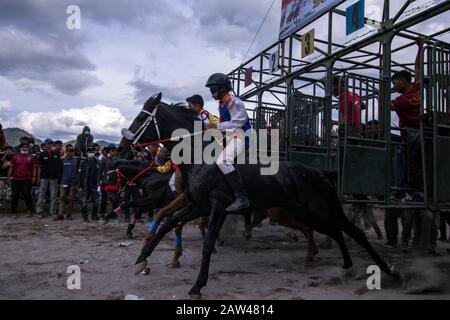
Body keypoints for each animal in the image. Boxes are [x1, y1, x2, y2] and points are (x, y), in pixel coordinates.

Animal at [120, 93, 394, 300]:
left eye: (142, 117)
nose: (123, 145)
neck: (201, 158)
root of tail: (318, 171)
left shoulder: (217, 206)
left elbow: (207, 243)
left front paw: (198, 285)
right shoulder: (198, 206)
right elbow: (167, 223)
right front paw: (142, 259)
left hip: (324, 207)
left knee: (354, 232)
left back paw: (386, 270)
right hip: (305, 212)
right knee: (335, 232)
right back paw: (346, 266)